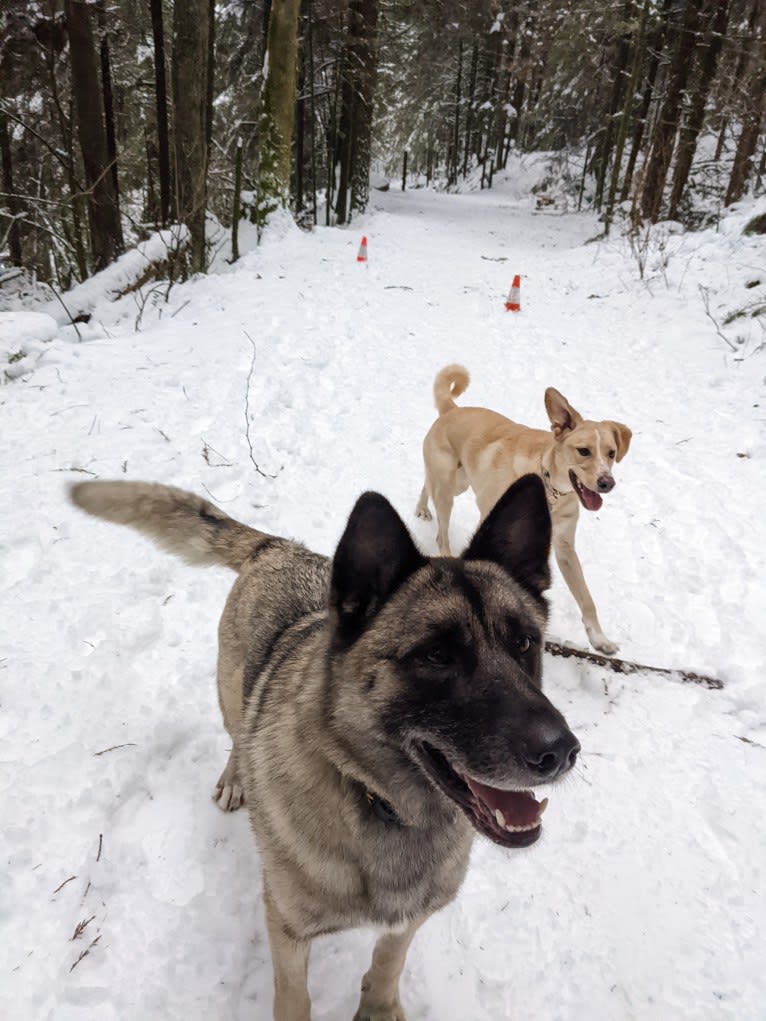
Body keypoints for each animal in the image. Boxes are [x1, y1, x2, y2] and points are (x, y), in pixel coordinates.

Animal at [72, 475, 580, 1021]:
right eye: (436, 656)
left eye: (525, 643)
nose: (560, 752)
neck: (380, 802)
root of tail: (280, 548)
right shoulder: (288, 929)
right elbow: (295, 997)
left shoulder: (409, 919)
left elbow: (388, 963)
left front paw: (378, 1007)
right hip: (230, 693)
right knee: (236, 733)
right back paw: (235, 777)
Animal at [416, 367, 633, 653]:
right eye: (584, 451)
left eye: (611, 453)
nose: (607, 483)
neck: (552, 487)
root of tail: (452, 409)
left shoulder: (565, 548)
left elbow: (587, 599)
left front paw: (599, 639)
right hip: (448, 488)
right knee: (441, 532)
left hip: (459, 483)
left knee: (427, 482)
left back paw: (421, 508)